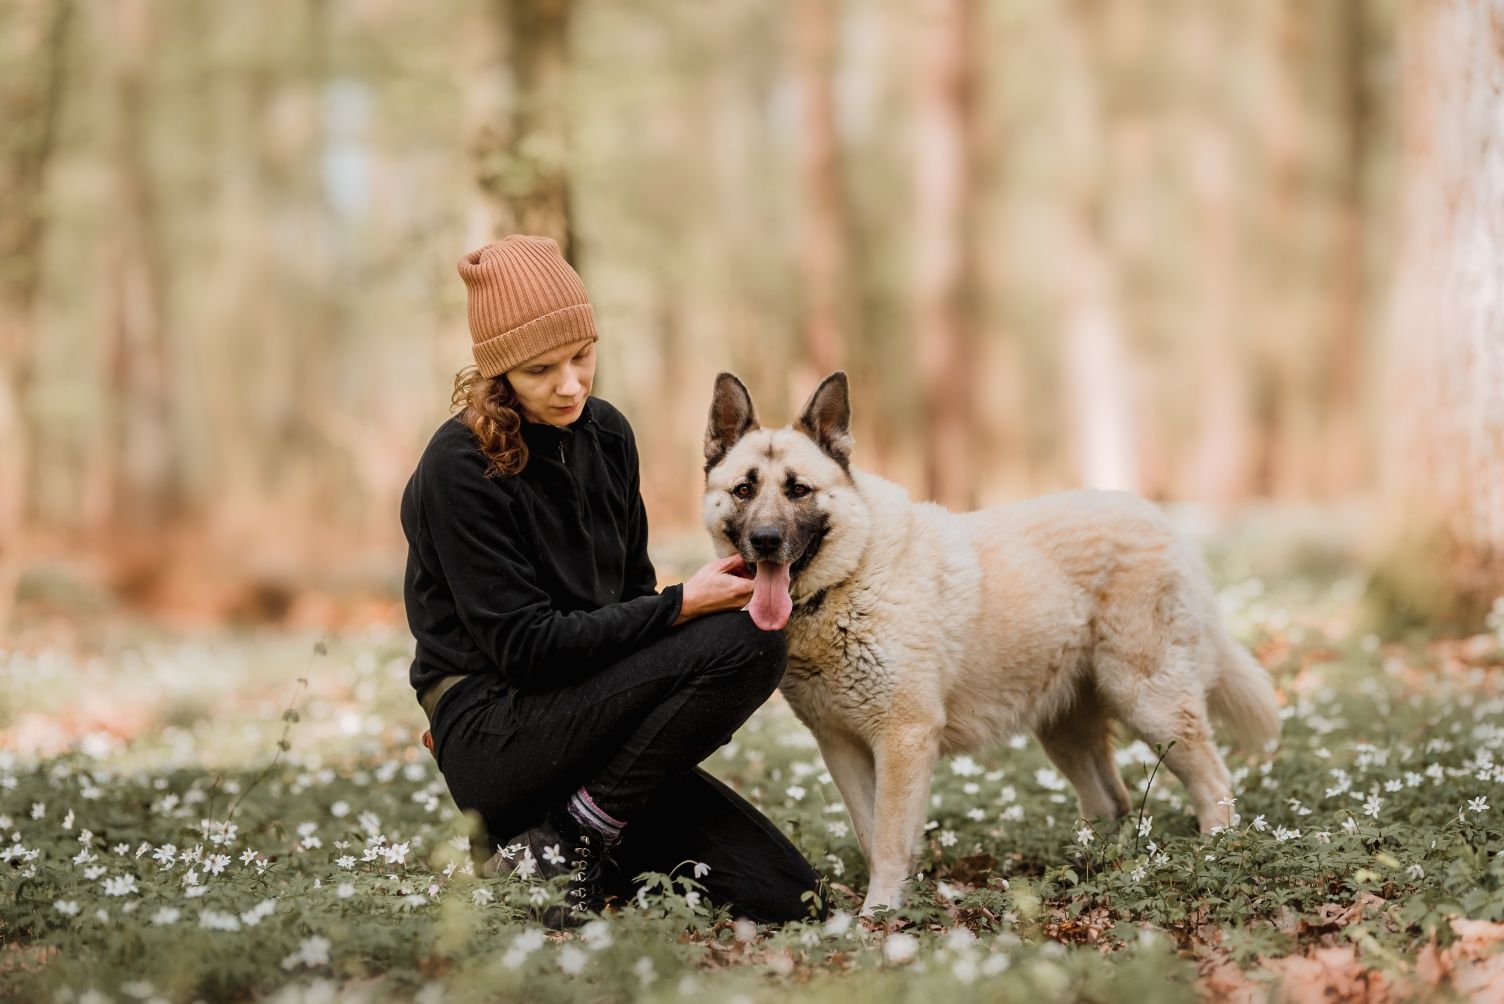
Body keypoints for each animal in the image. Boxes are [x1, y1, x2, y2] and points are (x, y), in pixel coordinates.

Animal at [700, 368, 1281, 907]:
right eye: (744, 490)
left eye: (798, 489)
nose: (765, 541)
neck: (850, 576)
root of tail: (1161, 520)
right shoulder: (841, 747)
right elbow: (870, 835)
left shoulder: (903, 740)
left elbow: (888, 841)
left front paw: (878, 918)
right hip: (1064, 730)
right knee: (1110, 802)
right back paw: (1089, 870)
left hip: (1151, 704)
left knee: (1214, 783)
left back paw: (1212, 855)